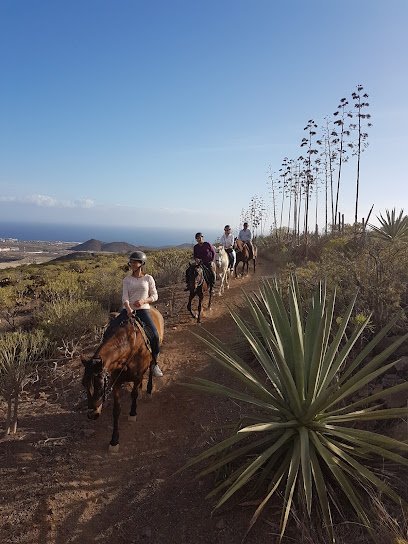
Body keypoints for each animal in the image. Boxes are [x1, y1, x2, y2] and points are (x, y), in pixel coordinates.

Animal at [81, 308, 164, 452]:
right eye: (84, 384)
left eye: (100, 385)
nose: (92, 414)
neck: (129, 345)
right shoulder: (116, 382)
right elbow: (116, 410)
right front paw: (114, 441)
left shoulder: (137, 376)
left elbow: (134, 394)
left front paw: (133, 413)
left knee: (152, 366)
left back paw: (148, 389)